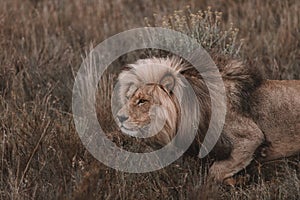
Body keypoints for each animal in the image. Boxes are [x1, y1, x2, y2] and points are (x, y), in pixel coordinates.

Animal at [115, 55, 300, 184]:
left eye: (142, 101)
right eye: (130, 97)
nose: (119, 117)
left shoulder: (251, 138)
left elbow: (215, 172)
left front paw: (239, 181)